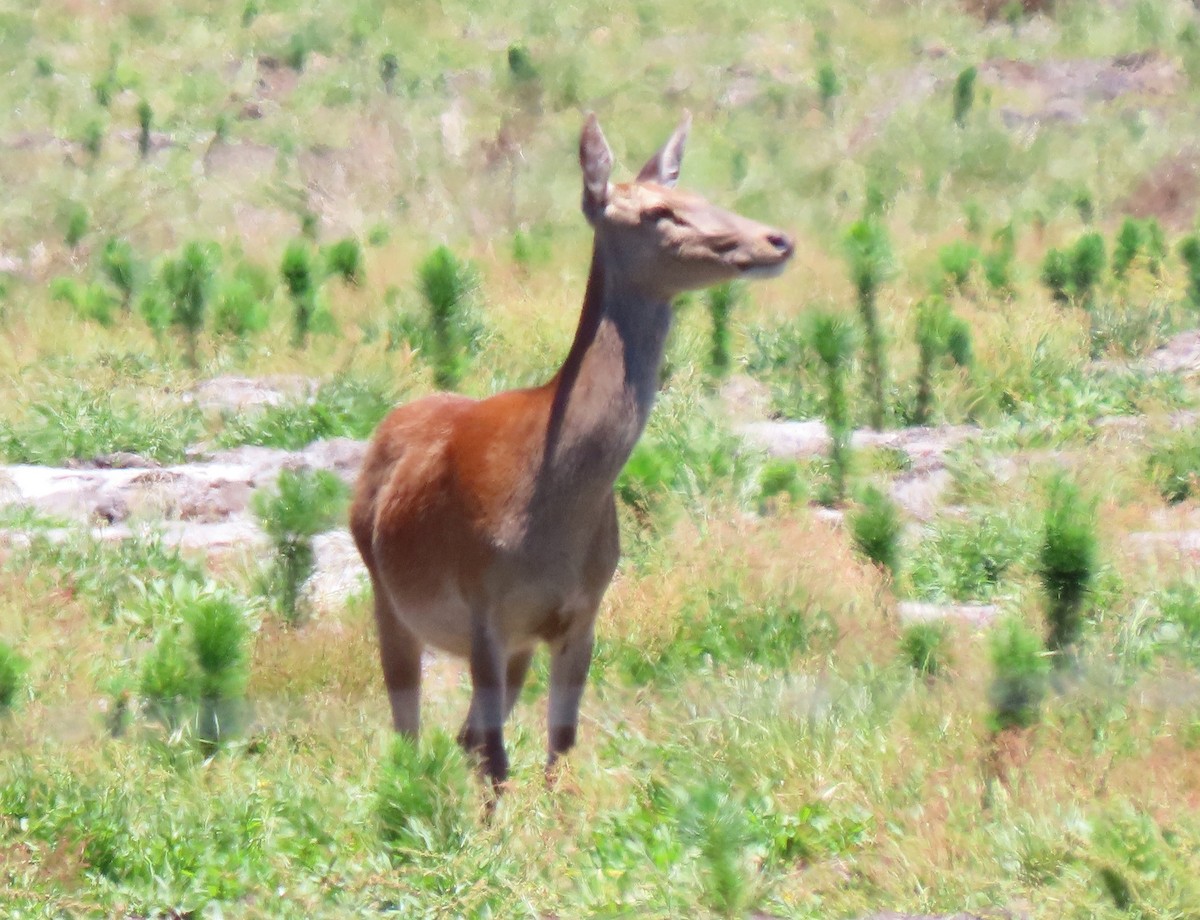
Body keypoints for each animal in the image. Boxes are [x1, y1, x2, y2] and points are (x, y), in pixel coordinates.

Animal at [350, 112, 794, 789]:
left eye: (696, 192)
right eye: (661, 211)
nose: (778, 240)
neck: (548, 505)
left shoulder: (581, 614)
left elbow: (560, 743)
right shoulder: (483, 607)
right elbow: (500, 757)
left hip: (512, 645)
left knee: (462, 736)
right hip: (387, 598)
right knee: (413, 731)